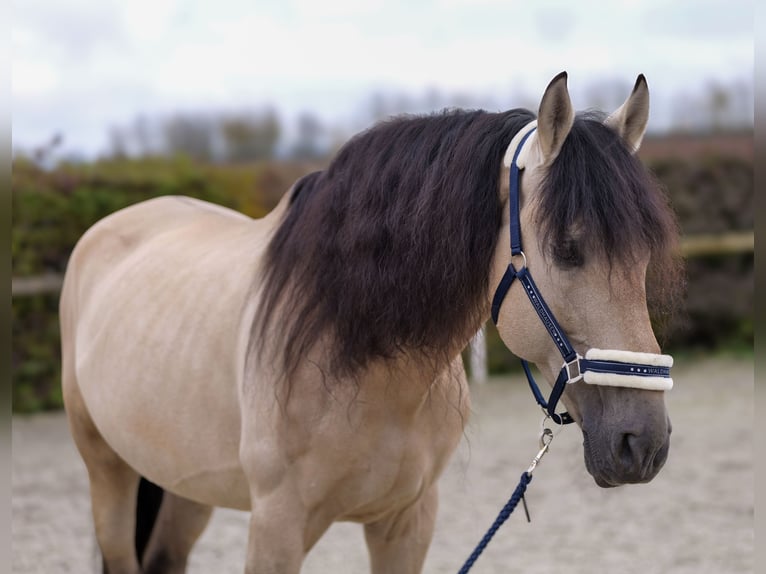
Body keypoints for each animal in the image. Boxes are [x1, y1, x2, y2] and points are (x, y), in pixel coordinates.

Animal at [61, 73, 684, 574]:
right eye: (567, 249)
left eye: (643, 258)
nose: (643, 444)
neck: (359, 360)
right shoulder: (276, 528)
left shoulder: (407, 522)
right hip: (106, 470)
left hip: (185, 483)